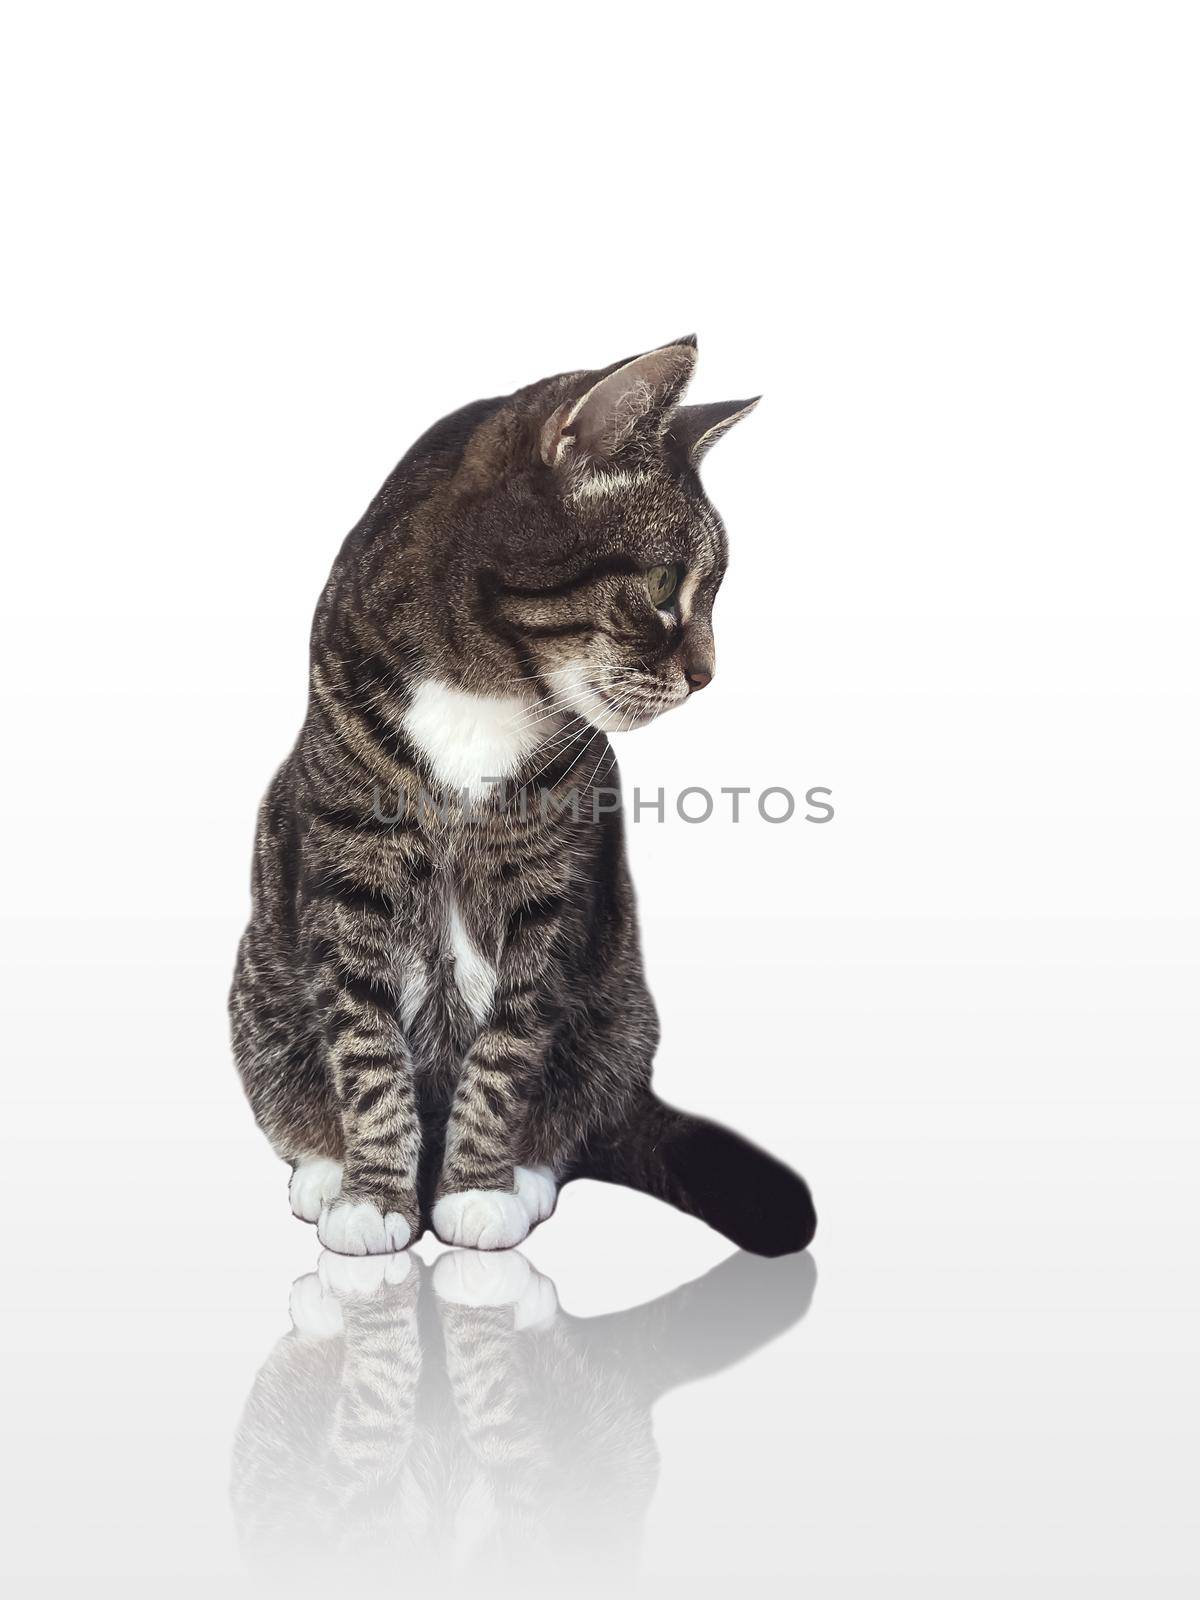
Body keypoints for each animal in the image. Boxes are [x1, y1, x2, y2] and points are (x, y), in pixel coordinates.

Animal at [227, 340, 819, 1260]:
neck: (484, 690)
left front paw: (476, 1191)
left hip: (619, 1013)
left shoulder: (551, 895)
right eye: (662, 584)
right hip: (257, 988)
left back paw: (527, 1176)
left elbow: (506, 1054)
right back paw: (324, 1170)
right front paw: (373, 1198)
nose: (708, 675)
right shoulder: (351, 867)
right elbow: (365, 1048)